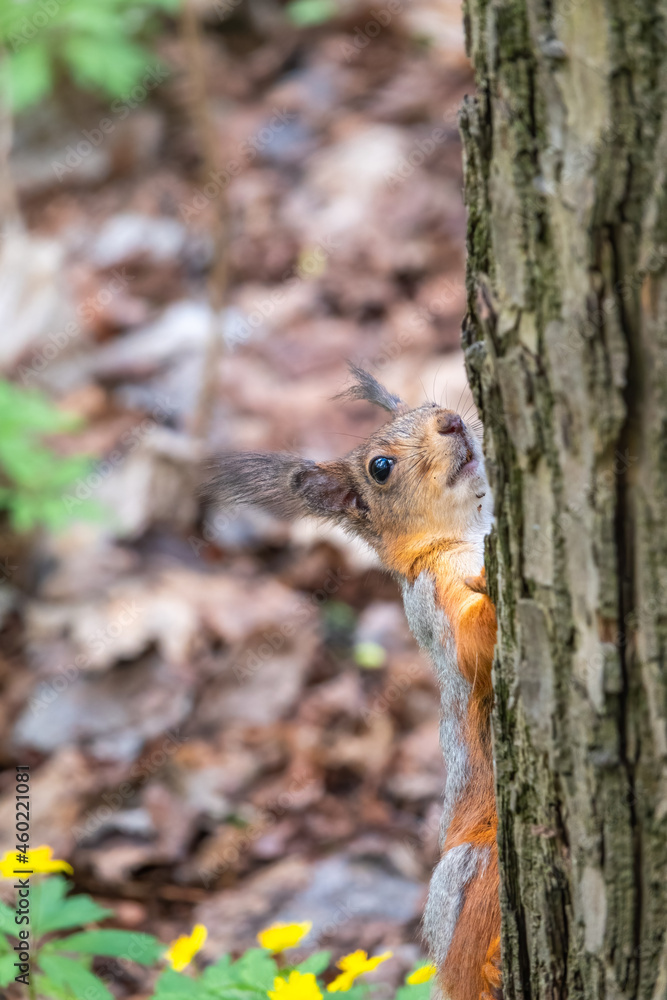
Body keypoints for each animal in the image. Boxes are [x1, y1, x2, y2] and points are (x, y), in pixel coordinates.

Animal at [204, 368, 500, 1000]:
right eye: (380, 467)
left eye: (431, 404)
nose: (452, 420)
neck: (464, 532)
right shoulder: (431, 602)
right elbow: (467, 648)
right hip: (471, 866)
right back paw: (485, 965)